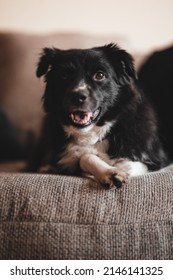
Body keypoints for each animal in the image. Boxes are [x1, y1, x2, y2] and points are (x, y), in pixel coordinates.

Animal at [28, 43, 168, 188]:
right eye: (64, 75)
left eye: (100, 75)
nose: (77, 96)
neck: (94, 132)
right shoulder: (65, 160)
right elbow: (85, 156)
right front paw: (109, 172)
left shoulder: (156, 159)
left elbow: (129, 164)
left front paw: (119, 168)